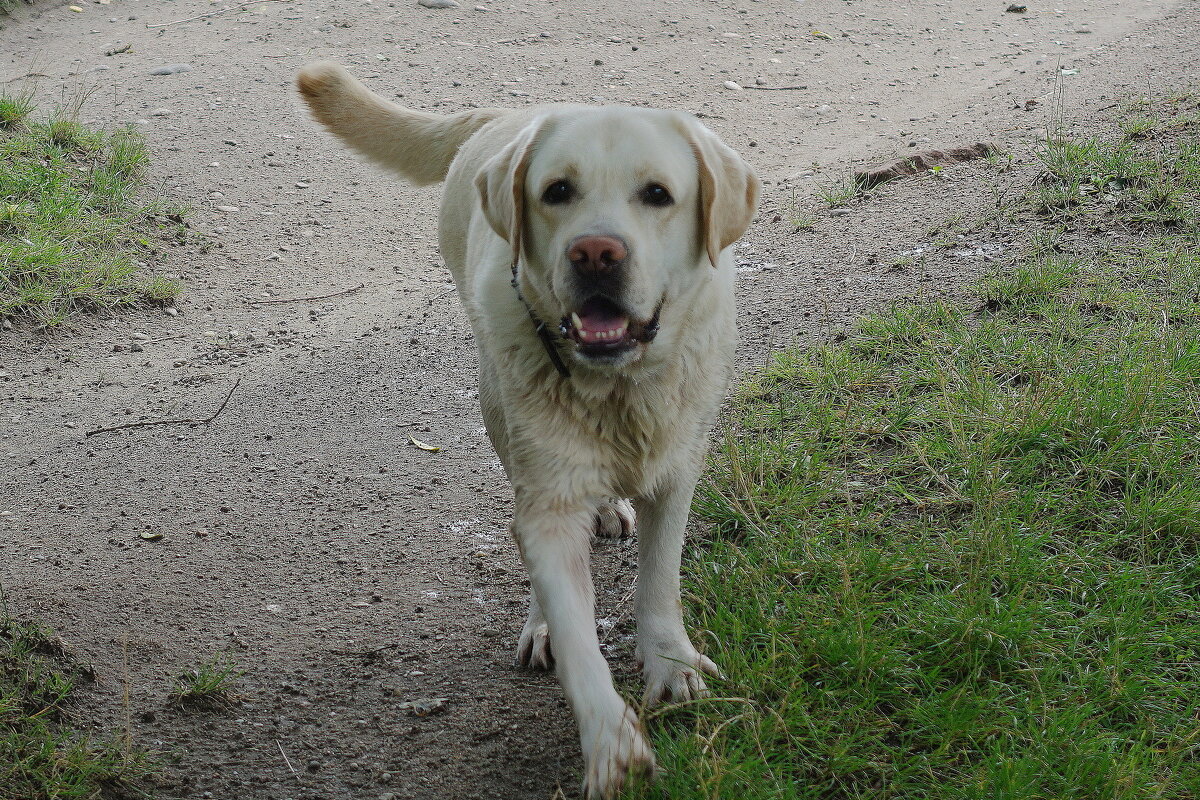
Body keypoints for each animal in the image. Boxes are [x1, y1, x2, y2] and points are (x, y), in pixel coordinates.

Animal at [295, 64, 753, 800]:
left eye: (657, 195)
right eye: (557, 192)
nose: (595, 252)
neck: (616, 388)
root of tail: (502, 115)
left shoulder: (676, 470)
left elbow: (659, 577)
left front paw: (670, 663)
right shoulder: (548, 503)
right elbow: (576, 629)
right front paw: (609, 740)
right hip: (497, 410)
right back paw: (542, 623)